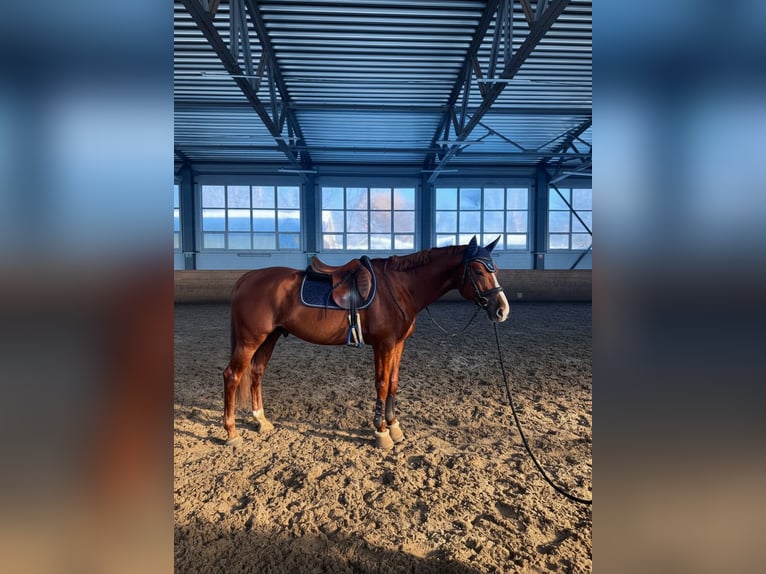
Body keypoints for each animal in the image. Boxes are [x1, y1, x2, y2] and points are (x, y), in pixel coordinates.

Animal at [223, 235, 510, 449]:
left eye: (495, 269)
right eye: (477, 270)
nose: (502, 310)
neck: (399, 288)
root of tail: (245, 279)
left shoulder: (398, 344)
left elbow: (393, 383)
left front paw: (394, 427)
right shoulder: (383, 344)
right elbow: (381, 385)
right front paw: (381, 433)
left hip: (269, 337)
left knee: (257, 372)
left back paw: (261, 420)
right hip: (250, 340)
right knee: (232, 376)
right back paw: (232, 434)